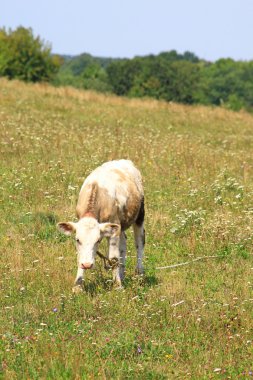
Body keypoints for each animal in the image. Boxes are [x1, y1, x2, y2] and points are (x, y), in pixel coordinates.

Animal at [57, 159, 144, 292]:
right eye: (77, 240)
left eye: (97, 240)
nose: (87, 265)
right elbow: (80, 256)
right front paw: (78, 285)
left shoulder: (114, 228)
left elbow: (113, 258)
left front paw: (117, 286)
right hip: (120, 225)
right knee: (123, 245)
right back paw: (122, 275)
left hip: (139, 214)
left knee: (139, 242)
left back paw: (139, 274)